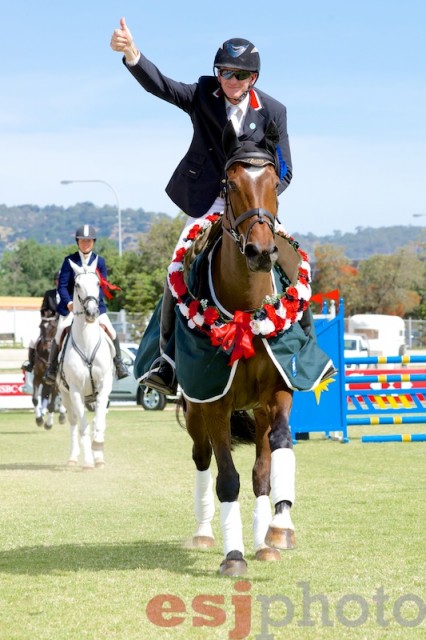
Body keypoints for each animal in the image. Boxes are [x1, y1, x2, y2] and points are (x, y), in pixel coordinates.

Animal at [59, 258, 115, 468]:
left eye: (98, 283)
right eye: (76, 284)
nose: (91, 312)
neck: (87, 341)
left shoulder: (104, 384)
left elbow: (99, 422)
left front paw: (98, 449)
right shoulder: (75, 389)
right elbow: (83, 426)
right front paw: (89, 460)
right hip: (65, 395)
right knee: (74, 422)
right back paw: (74, 457)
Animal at [168, 120, 332, 576]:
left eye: (275, 182)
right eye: (232, 182)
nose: (261, 252)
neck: (245, 308)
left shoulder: (277, 392)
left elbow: (273, 457)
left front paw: (274, 533)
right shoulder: (214, 400)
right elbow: (227, 478)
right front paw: (234, 555)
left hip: (257, 409)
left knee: (265, 461)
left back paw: (265, 534)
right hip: (196, 410)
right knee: (202, 457)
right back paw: (206, 533)